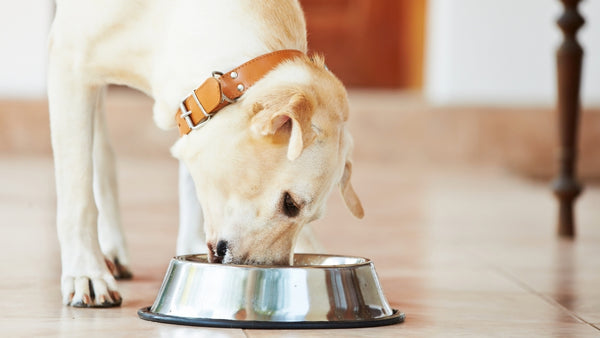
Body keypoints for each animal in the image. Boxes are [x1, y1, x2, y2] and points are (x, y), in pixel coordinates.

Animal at [47, 0, 364, 308]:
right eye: (290, 203)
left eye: (311, 217)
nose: (274, 275)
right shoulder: (68, 64)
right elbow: (78, 196)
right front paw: (86, 272)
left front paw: (191, 246)